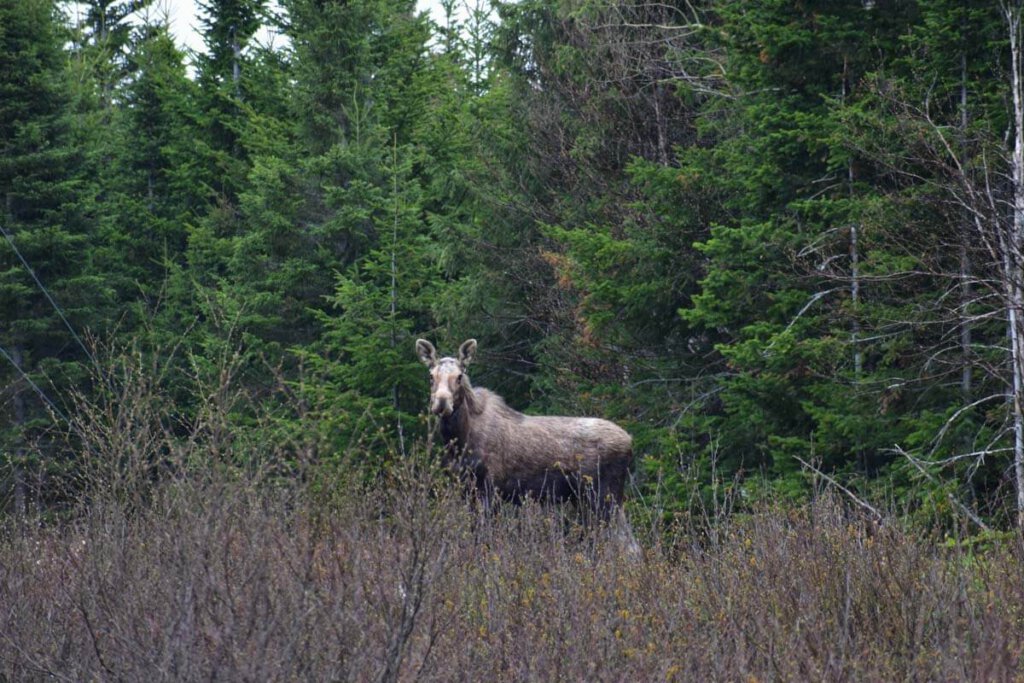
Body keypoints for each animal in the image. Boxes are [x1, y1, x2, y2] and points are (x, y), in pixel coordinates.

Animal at [413, 335, 634, 544]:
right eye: (431, 376)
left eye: (459, 376)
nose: (442, 403)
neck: (459, 440)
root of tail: (630, 441)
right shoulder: (466, 489)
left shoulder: (490, 488)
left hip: (603, 496)